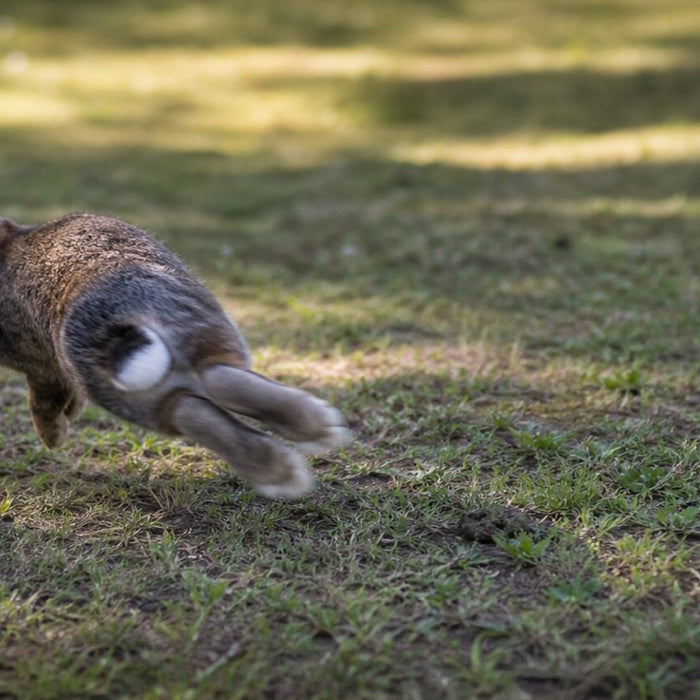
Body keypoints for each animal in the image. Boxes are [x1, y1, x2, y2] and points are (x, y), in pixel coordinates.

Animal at [0, 213, 350, 499]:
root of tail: (111, 327)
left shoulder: (43, 370)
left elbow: (45, 402)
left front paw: (55, 437)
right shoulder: (45, 369)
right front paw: (60, 430)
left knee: (202, 396)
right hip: (188, 339)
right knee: (205, 394)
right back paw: (299, 452)